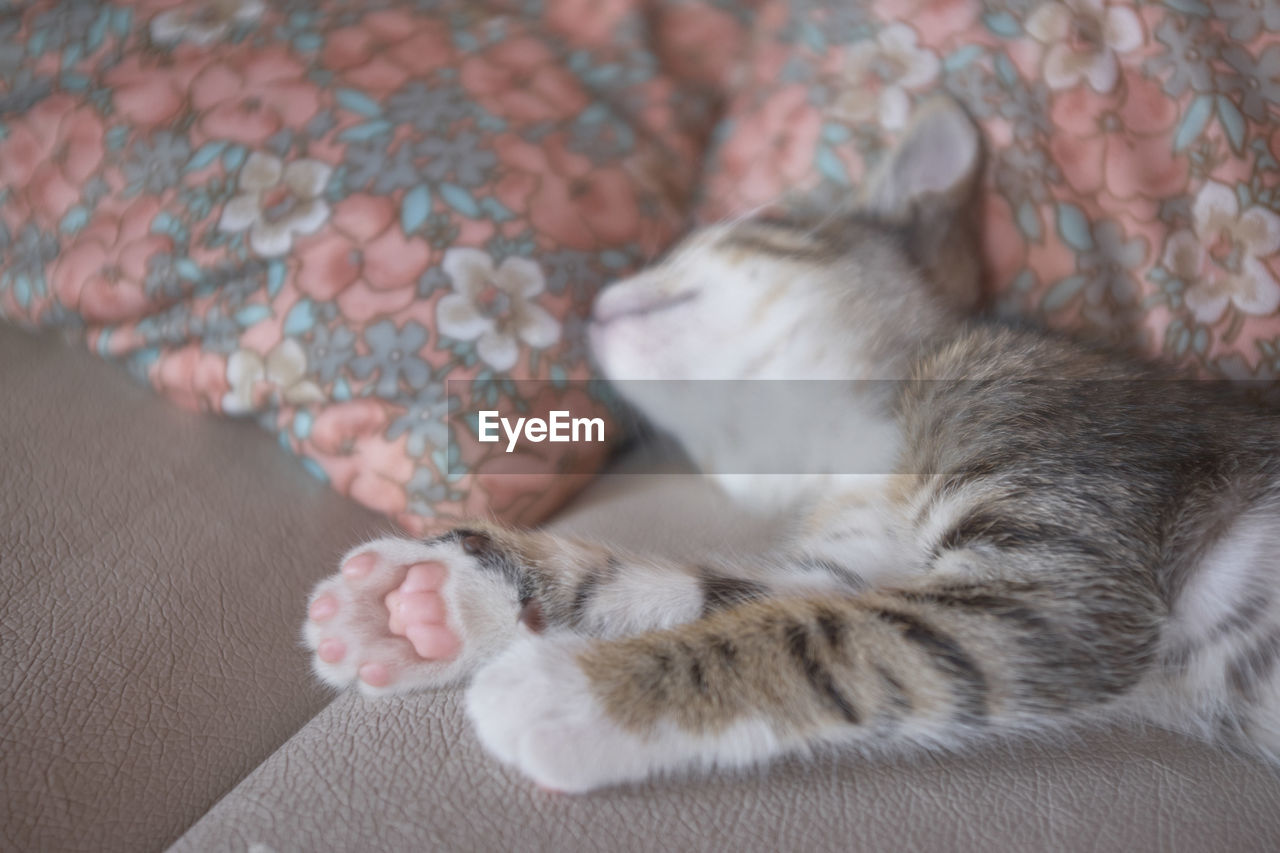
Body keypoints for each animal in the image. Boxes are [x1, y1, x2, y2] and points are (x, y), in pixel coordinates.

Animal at [302, 99, 1280, 788]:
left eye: (741, 226)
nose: (596, 297)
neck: (864, 447)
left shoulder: (1058, 578)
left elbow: (827, 636)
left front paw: (566, 690)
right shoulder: (847, 562)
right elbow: (714, 594)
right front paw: (436, 601)